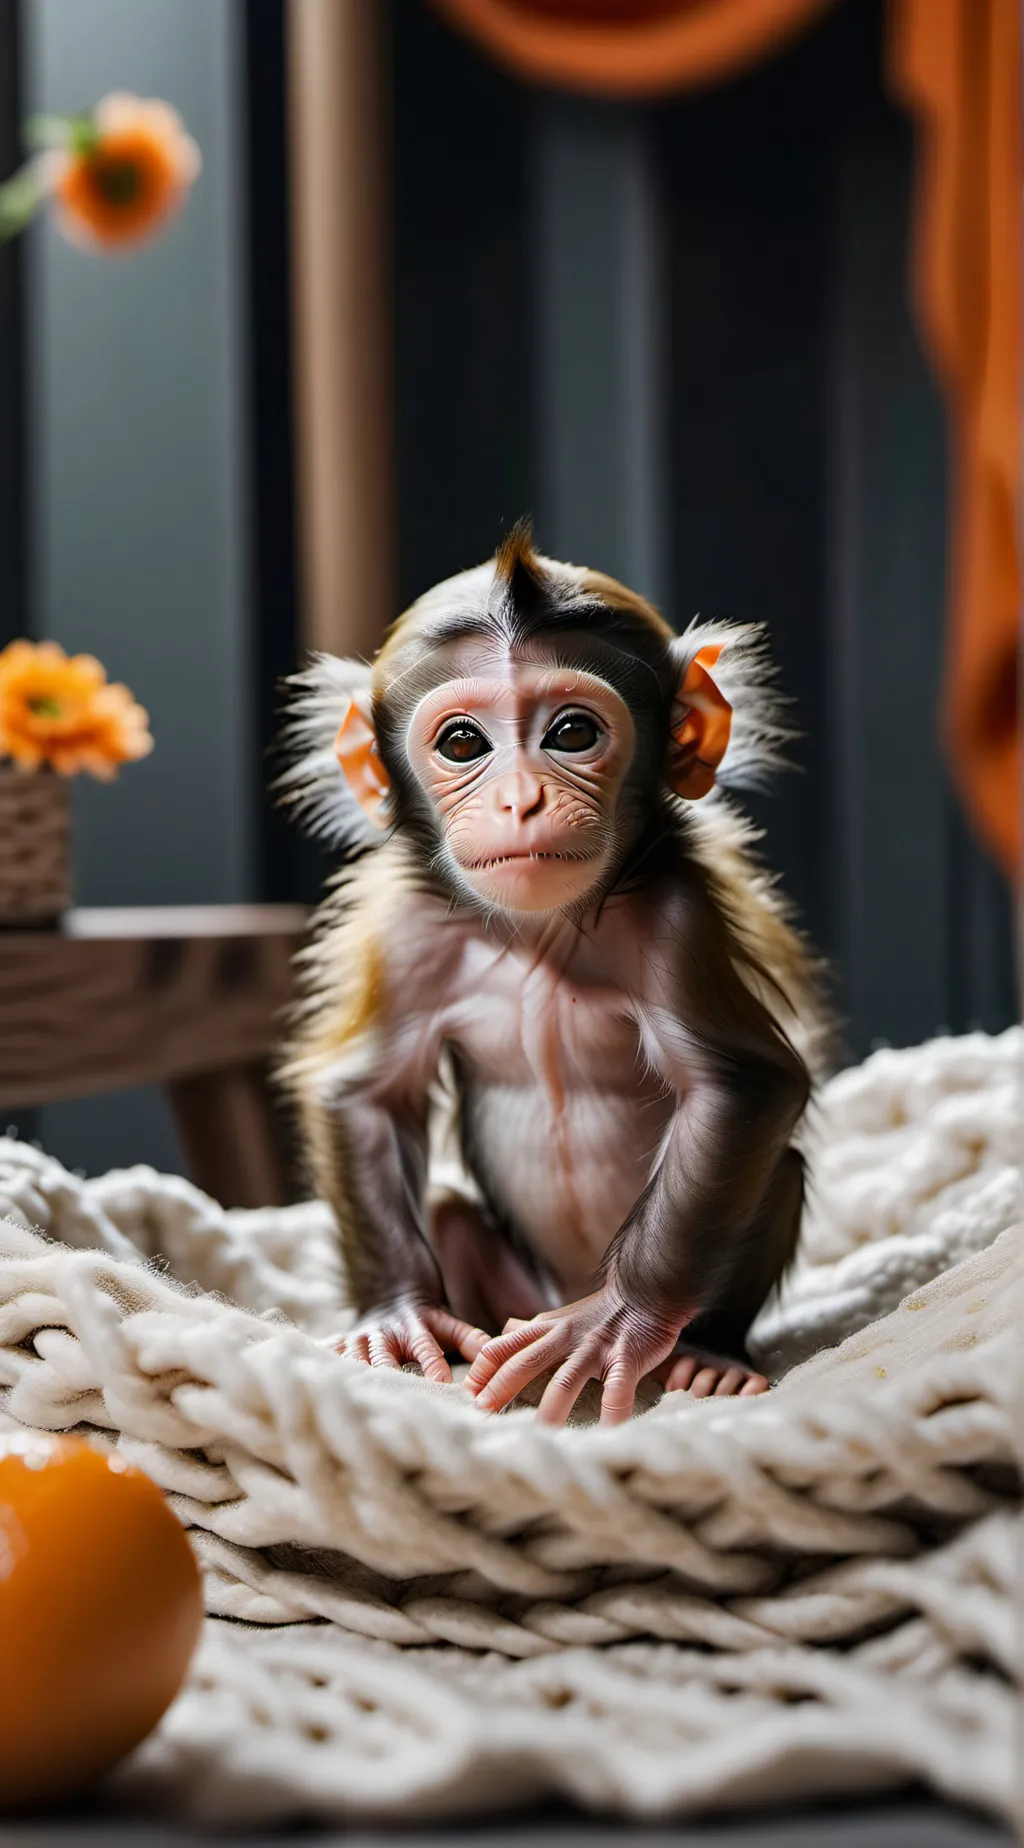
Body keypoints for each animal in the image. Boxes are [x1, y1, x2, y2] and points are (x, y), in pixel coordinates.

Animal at [276, 523, 829, 1427]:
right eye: (463, 743)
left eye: (571, 734)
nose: (521, 800)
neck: (537, 937)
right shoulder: (403, 935)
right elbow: (367, 1093)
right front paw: (397, 1316)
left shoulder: (677, 917)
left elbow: (744, 1087)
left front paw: (617, 1321)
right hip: (511, 1294)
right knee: (448, 1215)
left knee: (774, 1169)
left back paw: (709, 1353)